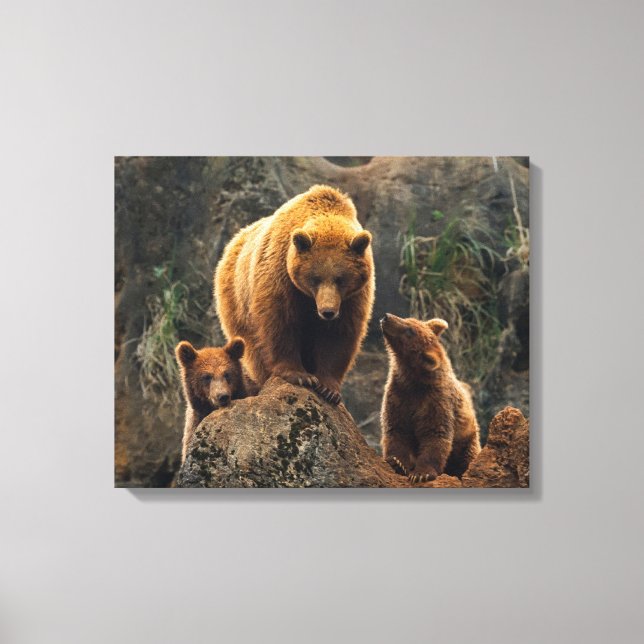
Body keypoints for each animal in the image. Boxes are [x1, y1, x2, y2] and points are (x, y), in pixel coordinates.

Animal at [214, 185, 375, 405]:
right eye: (315, 278)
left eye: (340, 279)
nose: (327, 311)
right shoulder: (280, 275)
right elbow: (280, 322)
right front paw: (300, 376)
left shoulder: (353, 298)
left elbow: (339, 334)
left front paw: (328, 388)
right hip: (237, 301)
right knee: (253, 346)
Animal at [379, 313, 481, 483]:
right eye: (408, 319)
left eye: (410, 331)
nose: (387, 317)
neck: (414, 380)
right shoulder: (398, 396)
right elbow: (396, 430)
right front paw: (397, 462)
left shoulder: (435, 401)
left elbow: (435, 435)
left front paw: (421, 474)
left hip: (467, 440)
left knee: (468, 458)